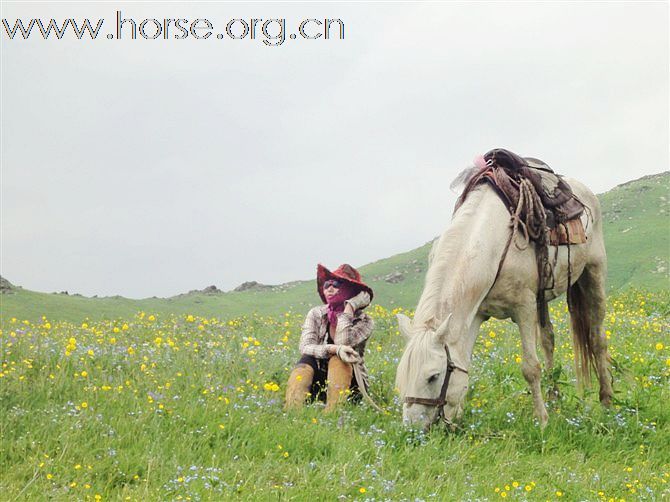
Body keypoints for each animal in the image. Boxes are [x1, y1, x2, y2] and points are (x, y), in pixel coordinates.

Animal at [400, 176, 616, 428]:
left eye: (433, 376)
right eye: (403, 375)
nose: (413, 429)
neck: (491, 245)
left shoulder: (524, 308)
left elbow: (530, 368)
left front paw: (542, 421)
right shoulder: (477, 314)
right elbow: (465, 362)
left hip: (594, 272)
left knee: (597, 338)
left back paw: (607, 401)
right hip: (543, 298)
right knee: (548, 340)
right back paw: (554, 399)